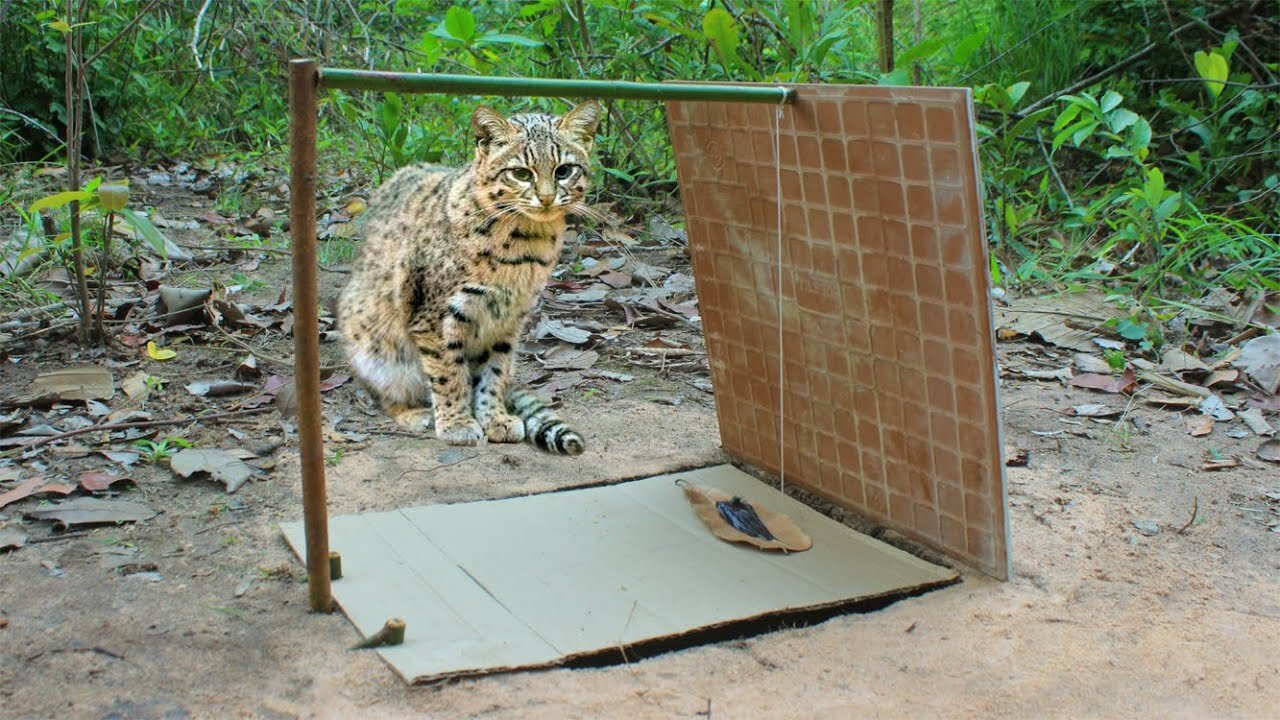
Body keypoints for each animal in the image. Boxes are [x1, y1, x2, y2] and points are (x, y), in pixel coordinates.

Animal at [337, 99, 601, 453]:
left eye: (564, 171)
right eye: (521, 173)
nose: (546, 198)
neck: (527, 242)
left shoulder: (508, 318)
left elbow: (494, 372)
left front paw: (494, 417)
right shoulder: (435, 316)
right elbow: (449, 372)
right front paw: (458, 423)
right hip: (372, 345)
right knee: (385, 392)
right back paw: (416, 414)